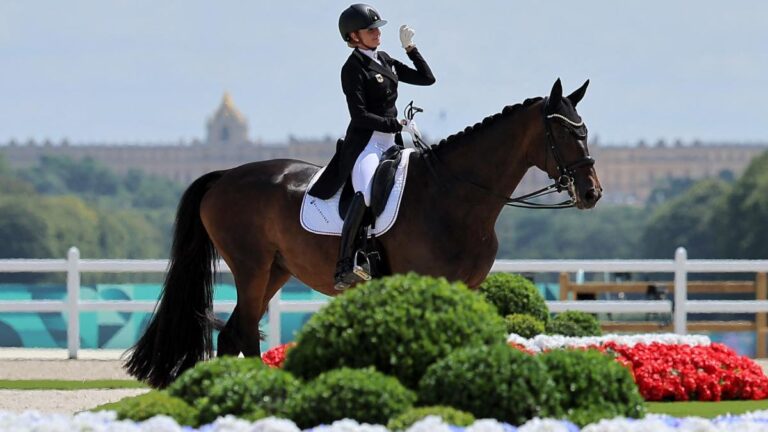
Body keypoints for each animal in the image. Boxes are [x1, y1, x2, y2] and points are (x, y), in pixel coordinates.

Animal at [124, 79, 600, 386]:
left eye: (585, 130)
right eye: (563, 132)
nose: (592, 192)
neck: (454, 193)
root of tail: (224, 176)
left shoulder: (465, 287)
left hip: (276, 270)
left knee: (236, 333)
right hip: (251, 266)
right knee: (239, 332)